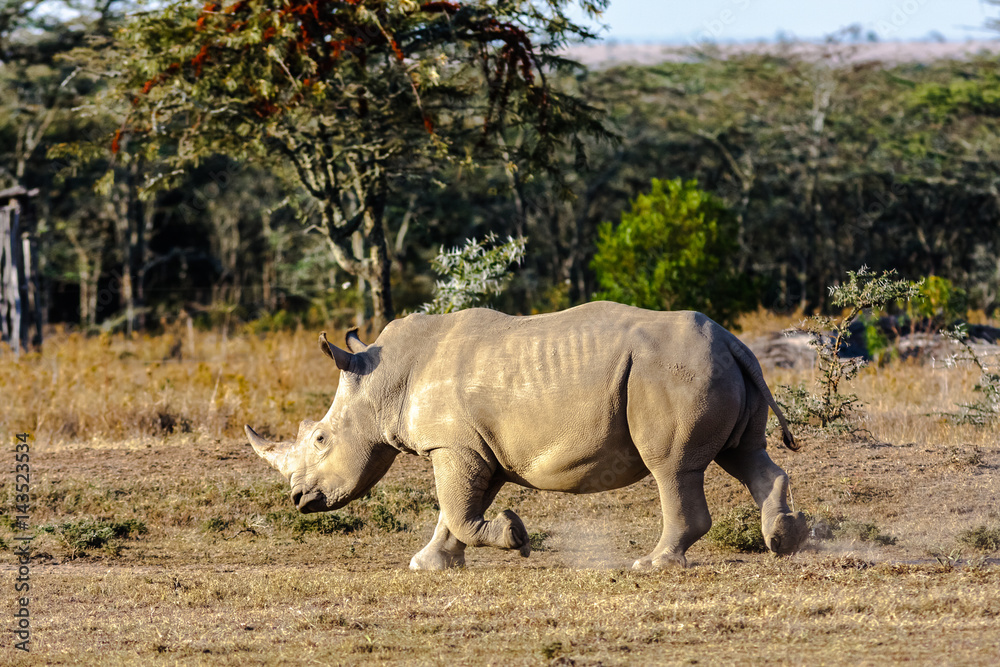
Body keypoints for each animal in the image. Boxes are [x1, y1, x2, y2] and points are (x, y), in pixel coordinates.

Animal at [246, 301, 807, 569]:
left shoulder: (453, 444)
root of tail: (733, 341)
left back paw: (653, 564)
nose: (299, 499)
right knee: (745, 455)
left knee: (672, 467)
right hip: (716, 366)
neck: (382, 383)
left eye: (320, 440)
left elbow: (456, 507)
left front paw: (515, 537)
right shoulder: (478, 446)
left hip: (672, 372)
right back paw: (785, 540)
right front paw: (430, 563)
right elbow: (455, 510)